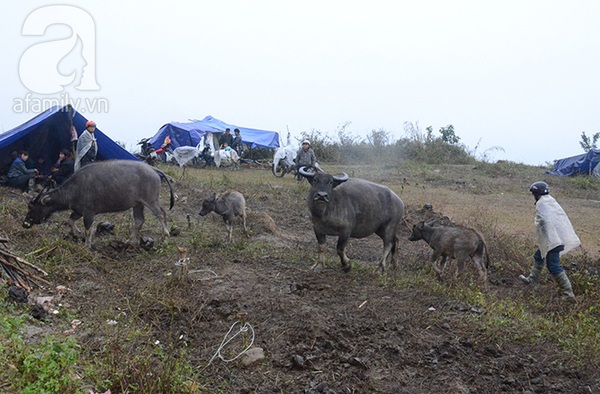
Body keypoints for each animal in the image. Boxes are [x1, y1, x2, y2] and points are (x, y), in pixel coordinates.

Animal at [23, 160, 173, 246]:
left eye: (32, 208)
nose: (25, 224)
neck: (75, 188)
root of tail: (153, 169)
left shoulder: (89, 213)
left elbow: (88, 230)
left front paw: (87, 245)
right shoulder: (78, 211)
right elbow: (70, 221)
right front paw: (77, 233)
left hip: (151, 200)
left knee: (161, 214)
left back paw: (165, 237)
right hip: (138, 204)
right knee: (139, 220)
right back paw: (130, 240)